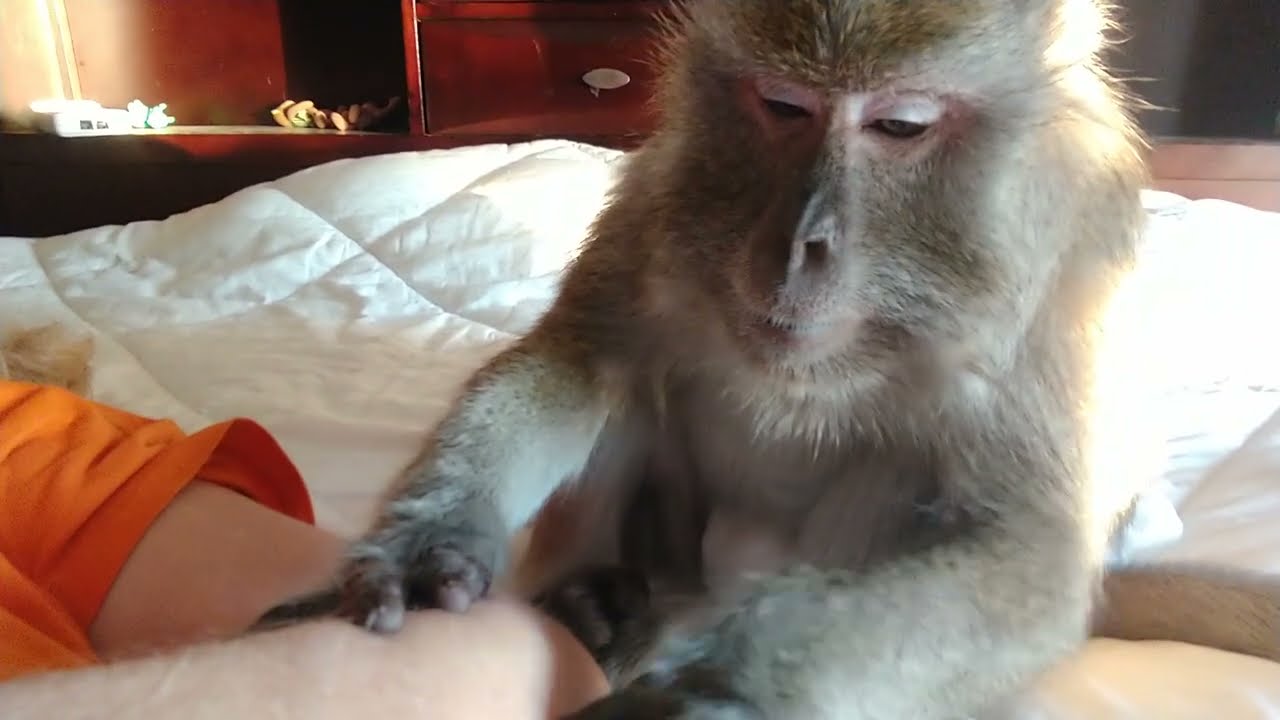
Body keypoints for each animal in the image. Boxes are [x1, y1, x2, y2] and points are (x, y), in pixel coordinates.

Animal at [258, 0, 1280, 717]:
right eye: (783, 107)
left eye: (900, 125)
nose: (799, 245)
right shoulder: (665, 194)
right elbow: (584, 363)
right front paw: (434, 534)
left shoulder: (1053, 273)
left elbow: (1025, 554)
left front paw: (732, 693)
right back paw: (596, 603)